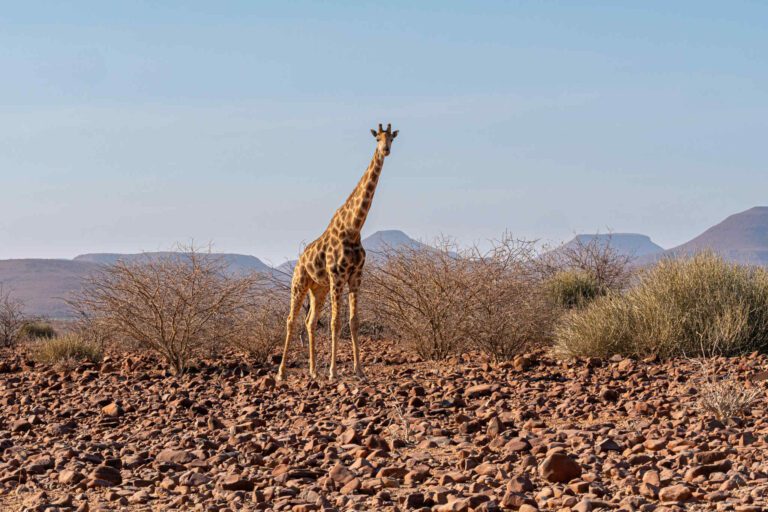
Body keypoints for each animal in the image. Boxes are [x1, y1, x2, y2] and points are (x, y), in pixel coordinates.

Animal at [276, 123, 398, 381]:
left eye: (392, 138)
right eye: (377, 138)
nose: (385, 150)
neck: (353, 228)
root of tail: (299, 260)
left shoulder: (355, 277)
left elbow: (353, 321)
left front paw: (359, 370)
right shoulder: (337, 276)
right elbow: (335, 322)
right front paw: (333, 371)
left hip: (318, 289)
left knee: (310, 321)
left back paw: (313, 371)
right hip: (299, 283)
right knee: (291, 320)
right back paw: (281, 372)